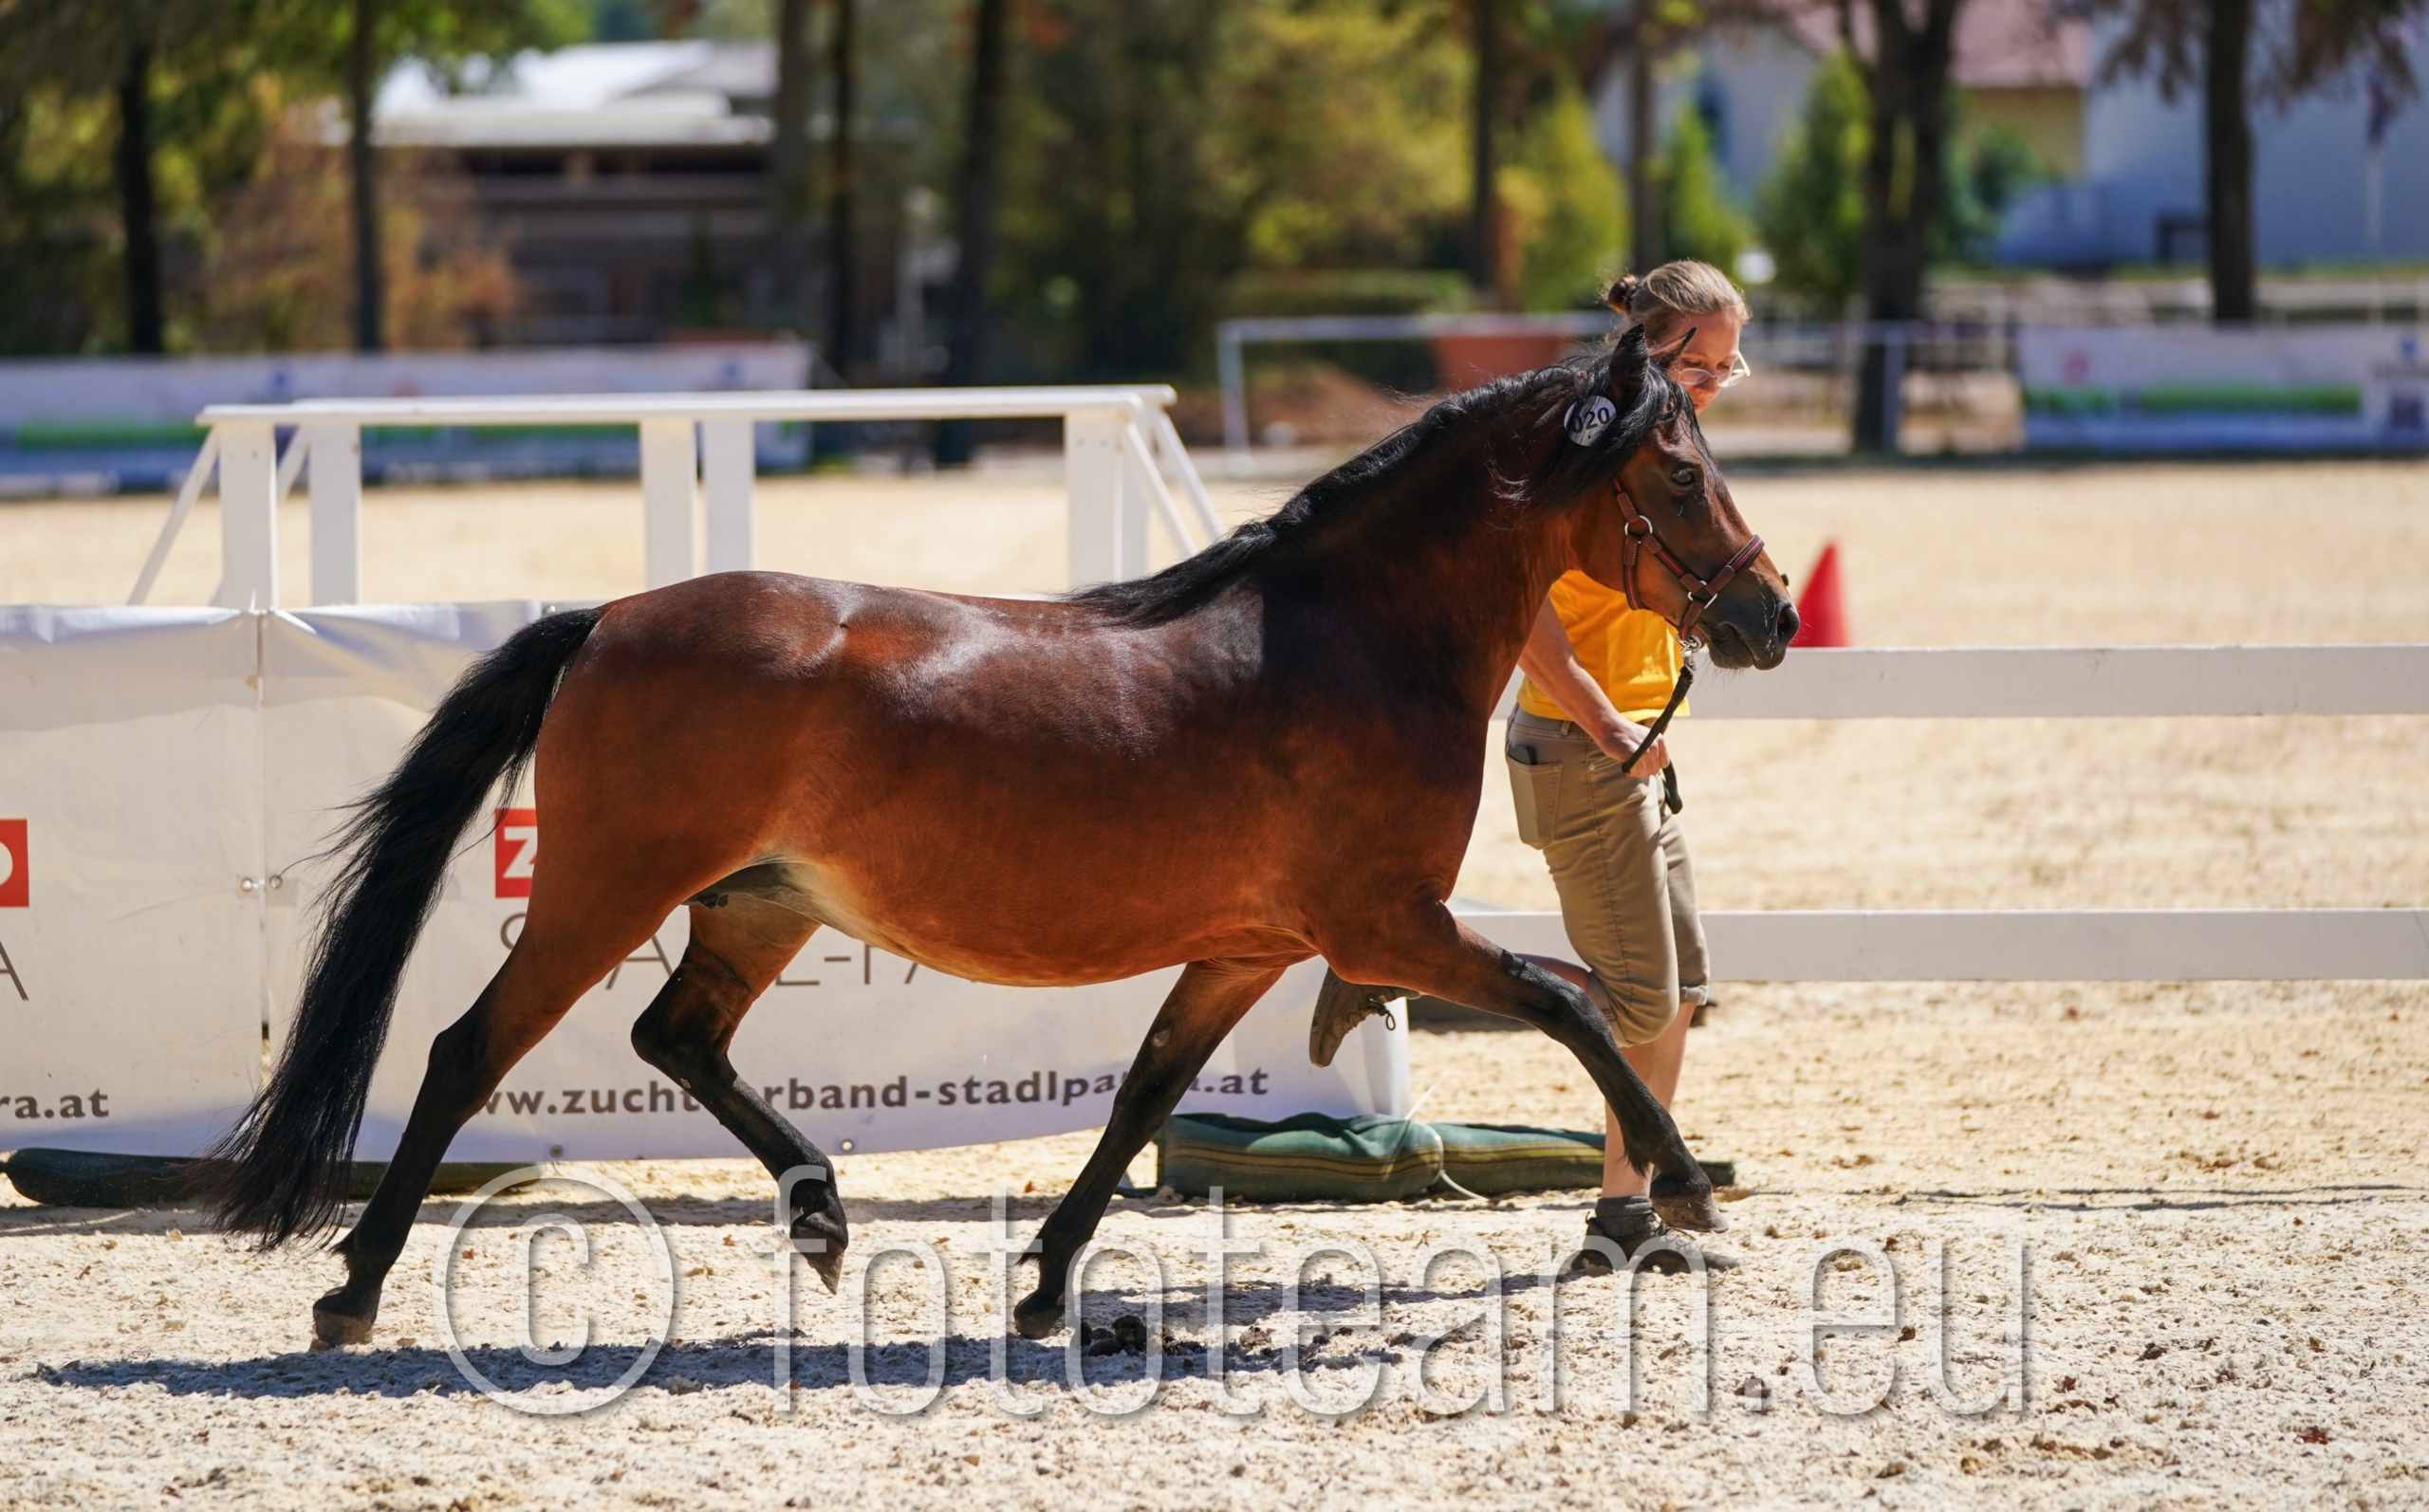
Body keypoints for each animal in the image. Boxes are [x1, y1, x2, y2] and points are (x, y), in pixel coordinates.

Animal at [204, 325, 1796, 1349]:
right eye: (1676, 474)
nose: (1771, 612)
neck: (1347, 639)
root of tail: (604, 620)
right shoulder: (1386, 925)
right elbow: (1572, 1005)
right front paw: (1682, 1186)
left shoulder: (1247, 945)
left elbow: (1145, 1095)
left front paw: (1042, 1284)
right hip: (606, 890)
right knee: (468, 1049)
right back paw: (350, 1291)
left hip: (762, 903)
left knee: (676, 1036)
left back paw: (821, 1217)